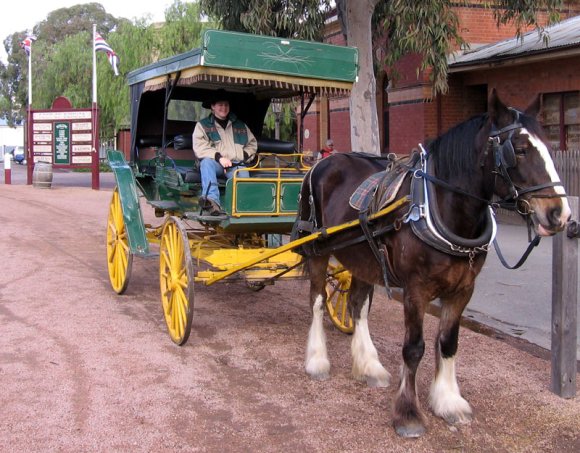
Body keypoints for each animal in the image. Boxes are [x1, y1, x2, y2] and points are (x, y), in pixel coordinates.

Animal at [294, 90, 572, 436]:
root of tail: (321, 163)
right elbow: (414, 348)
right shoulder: (416, 291)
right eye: (518, 150)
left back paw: (369, 365)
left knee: (357, 305)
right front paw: (408, 413)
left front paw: (448, 401)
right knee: (318, 300)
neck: (440, 205)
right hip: (317, 250)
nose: (560, 214)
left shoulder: (462, 290)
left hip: (363, 257)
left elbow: (449, 343)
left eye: (549, 145)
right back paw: (317, 360)